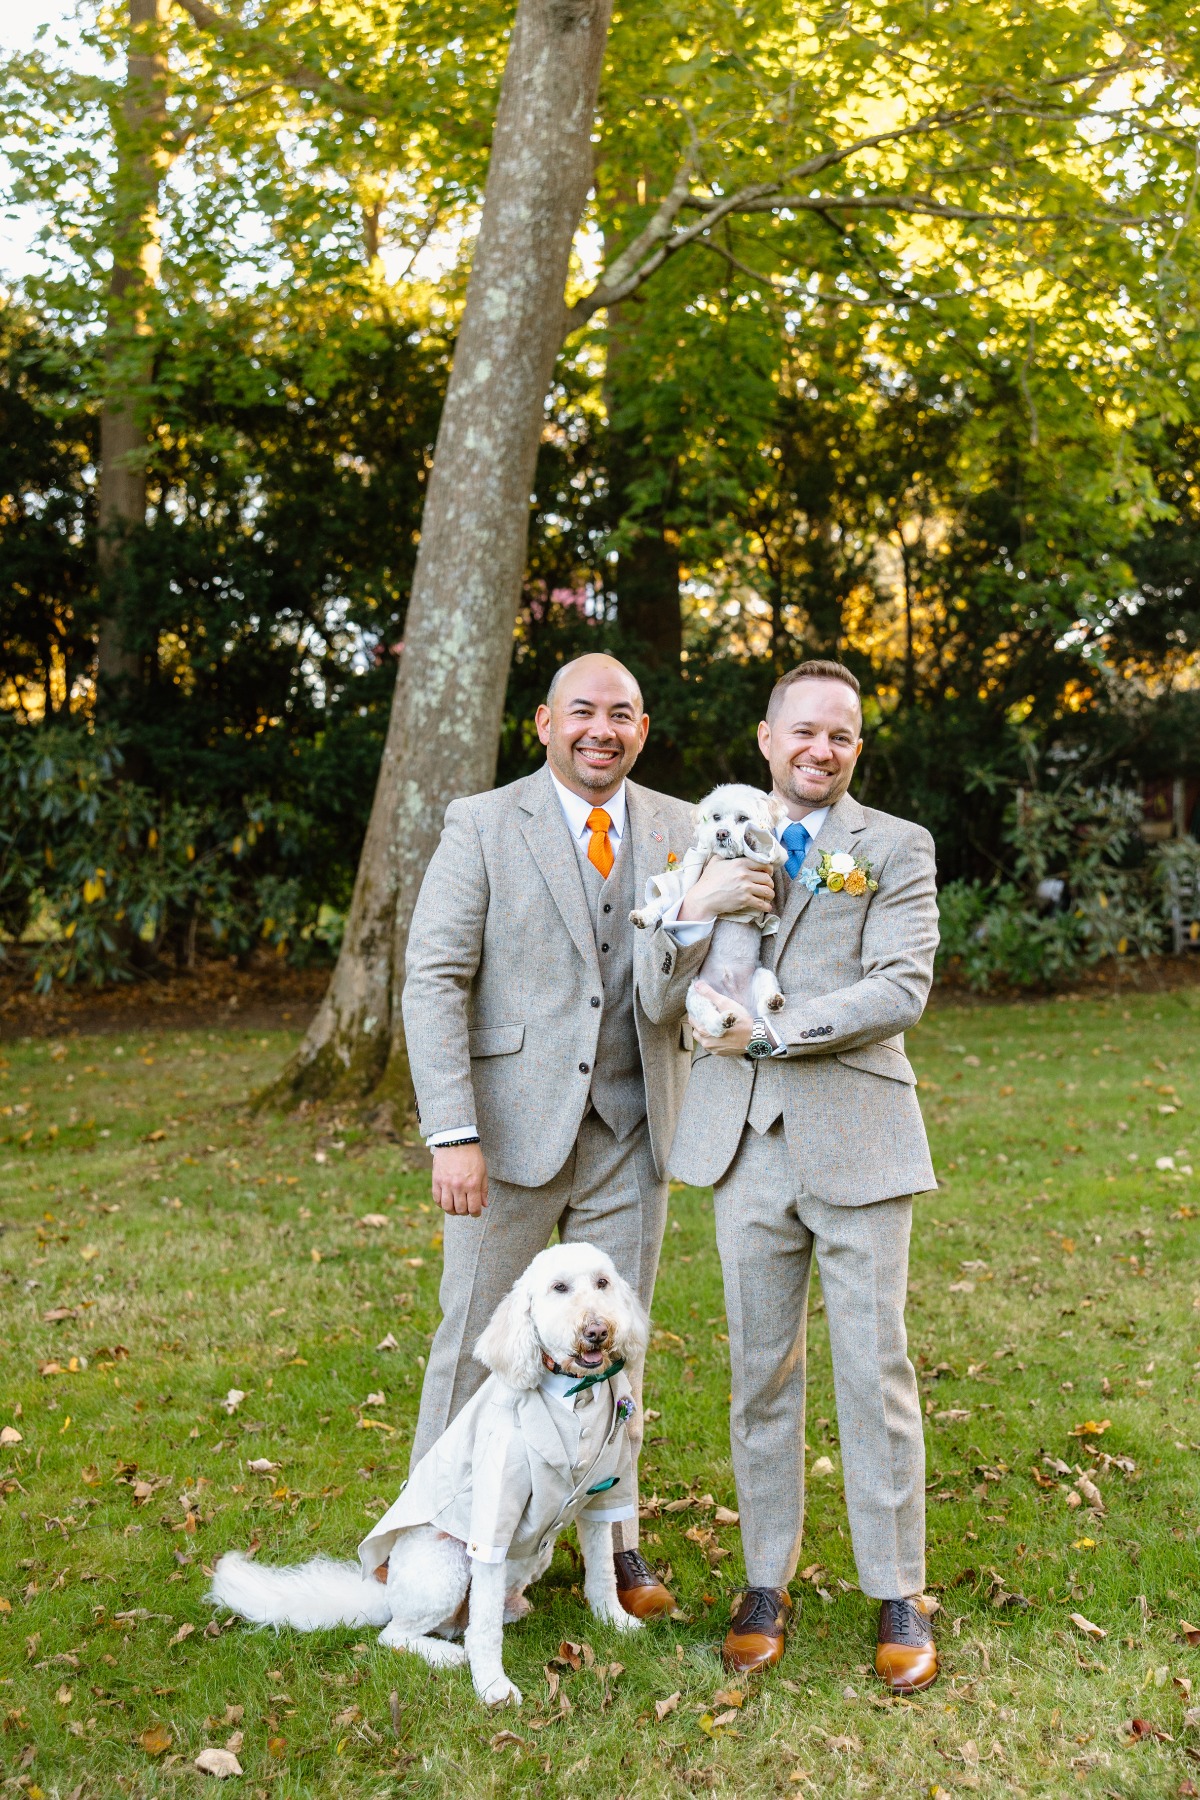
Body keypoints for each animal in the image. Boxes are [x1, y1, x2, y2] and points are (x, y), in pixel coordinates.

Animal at [211, 1245, 651, 1706]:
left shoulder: (603, 1495)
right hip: (446, 1565)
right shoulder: (493, 1518)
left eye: (602, 1283)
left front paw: (614, 1621)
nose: (597, 1330)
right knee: (398, 1635)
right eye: (559, 1287)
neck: (574, 1394)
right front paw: (493, 1686)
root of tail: (386, 1590)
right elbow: (483, 1629)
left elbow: (601, 1572)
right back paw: (448, 1656)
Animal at [629, 784, 788, 1044]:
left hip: (763, 976)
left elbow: (767, 850)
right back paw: (723, 1020)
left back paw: (772, 1002)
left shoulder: (771, 862)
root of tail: (738, 1003)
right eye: (716, 817)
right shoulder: (686, 881)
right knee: (712, 1023)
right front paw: (643, 916)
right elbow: (665, 900)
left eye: (742, 818)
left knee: (764, 1010)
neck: (727, 858)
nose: (721, 833)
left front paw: (751, 838)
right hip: (696, 994)